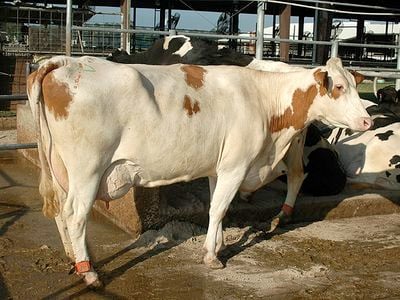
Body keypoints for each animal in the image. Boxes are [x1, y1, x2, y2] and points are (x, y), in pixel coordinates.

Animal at [27, 55, 372, 288]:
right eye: (339, 87)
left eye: (355, 86)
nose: (368, 121)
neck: (264, 99)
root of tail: (64, 62)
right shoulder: (235, 166)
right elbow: (219, 209)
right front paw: (211, 256)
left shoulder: (219, 168)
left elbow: (217, 209)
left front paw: (217, 244)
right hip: (87, 169)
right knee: (75, 214)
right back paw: (89, 271)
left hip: (61, 169)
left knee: (61, 213)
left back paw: (74, 259)